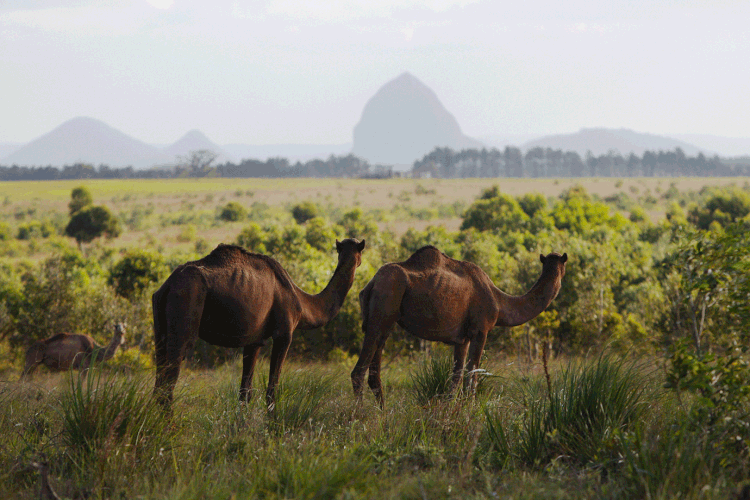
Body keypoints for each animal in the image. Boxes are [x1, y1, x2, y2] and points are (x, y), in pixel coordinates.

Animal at [153, 239, 368, 410]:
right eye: (360, 251)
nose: (358, 261)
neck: (301, 302)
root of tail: (168, 285)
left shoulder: (253, 341)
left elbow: (245, 392)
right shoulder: (284, 333)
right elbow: (272, 389)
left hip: (160, 325)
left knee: (159, 380)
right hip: (185, 308)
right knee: (169, 381)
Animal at [356, 246, 568, 406]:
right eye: (564, 264)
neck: (499, 302)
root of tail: (372, 283)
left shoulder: (462, 339)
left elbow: (456, 377)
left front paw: (449, 410)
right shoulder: (480, 330)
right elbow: (472, 375)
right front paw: (470, 409)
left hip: (382, 320)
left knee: (374, 372)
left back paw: (382, 413)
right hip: (385, 304)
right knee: (359, 370)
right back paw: (359, 416)